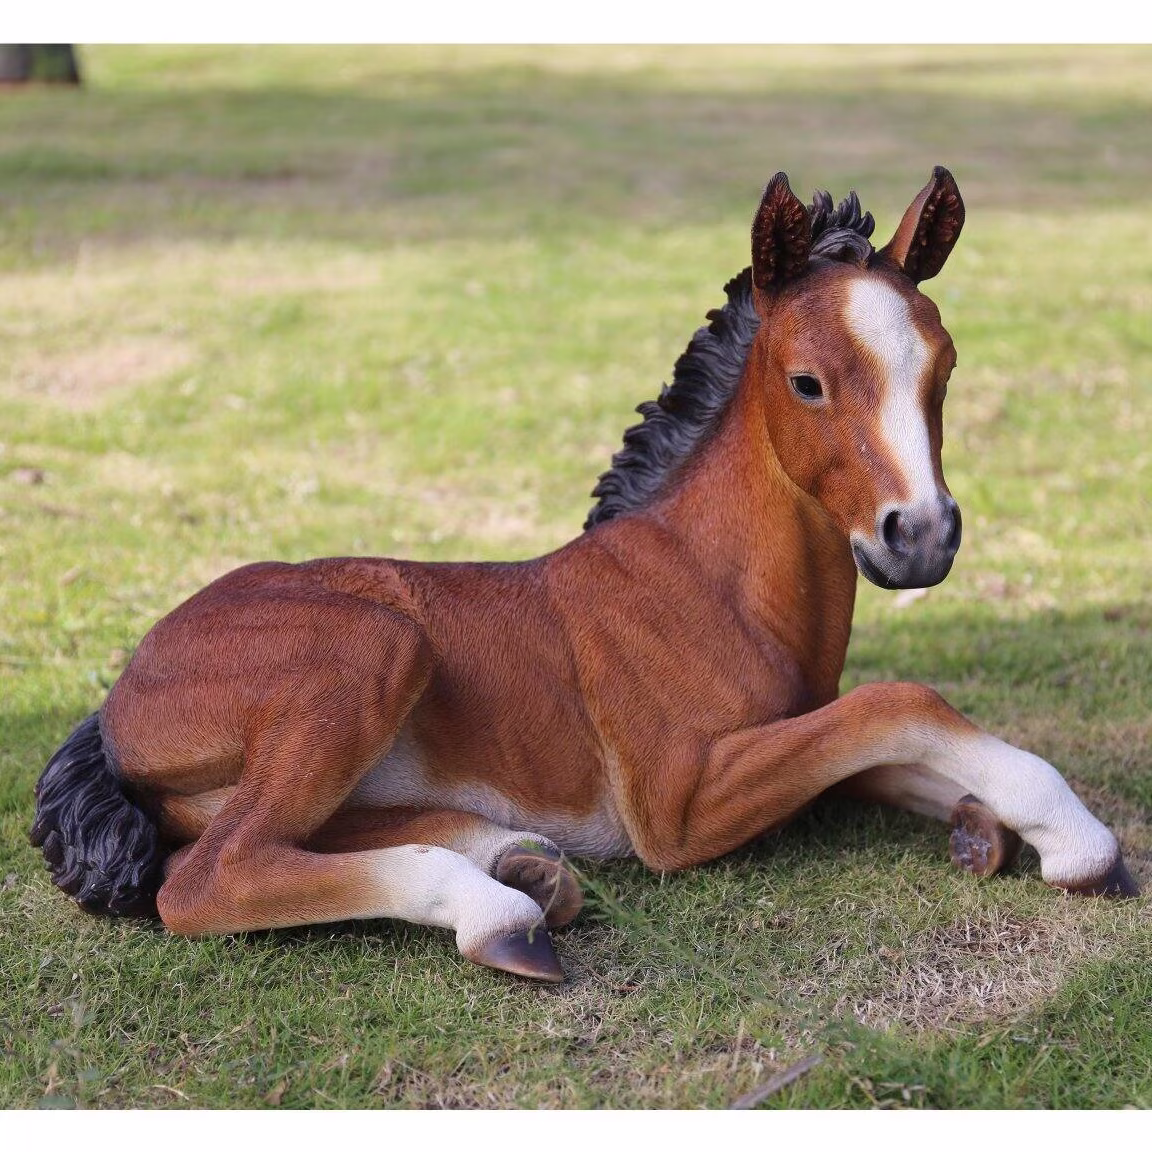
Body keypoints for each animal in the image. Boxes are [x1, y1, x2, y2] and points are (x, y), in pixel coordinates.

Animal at [31, 167, 1138, 984]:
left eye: (944, 370)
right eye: (807, 382)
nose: (922, 538)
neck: (708, 583)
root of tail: (117, 697)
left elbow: (895, 752)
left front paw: (986, 828)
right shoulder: (680, 803)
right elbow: (902, 702)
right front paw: (1081, 844)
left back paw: (519, 860)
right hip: (370, 647)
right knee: (212, 875)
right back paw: (498, 909)